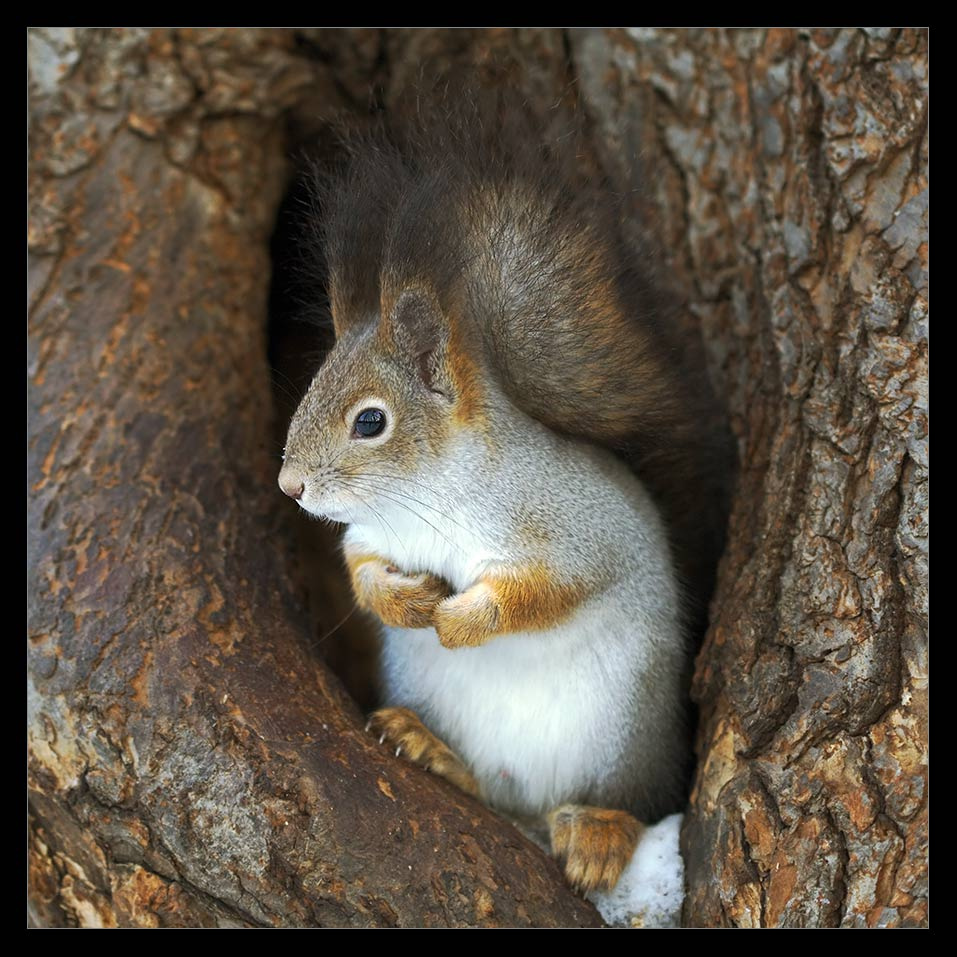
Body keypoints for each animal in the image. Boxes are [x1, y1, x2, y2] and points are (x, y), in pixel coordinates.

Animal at [277, 89, 729, 893]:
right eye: (310, 385)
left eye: (370, 421)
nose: (288, 483)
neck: (427, 495)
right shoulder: (371, 535)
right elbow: (361, 570)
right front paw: (406, 601)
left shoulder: (575, 527)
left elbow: (548, 589)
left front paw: (461, 618)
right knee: (488, 790)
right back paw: (430, 748)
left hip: (625, 732)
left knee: (623, 800)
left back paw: (601, 830)